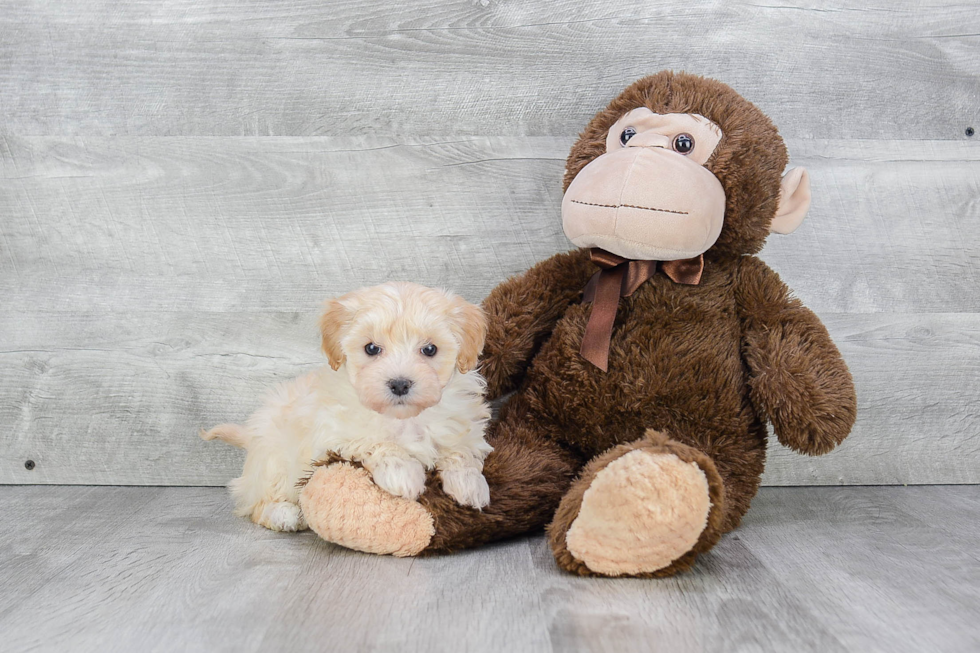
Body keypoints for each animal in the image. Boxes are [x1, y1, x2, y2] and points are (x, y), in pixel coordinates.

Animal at [201, 282, 490, 532]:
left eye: (430, 349)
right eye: (371, 348)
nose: (399, 384)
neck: (403, 419)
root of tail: (251, 436)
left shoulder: (462, 424)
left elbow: (462, 450)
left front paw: (470, 484)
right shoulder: (334, 432)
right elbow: (376, 442)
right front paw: (403, 474)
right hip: (276, 462)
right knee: (258, 504)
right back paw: (283, 514)